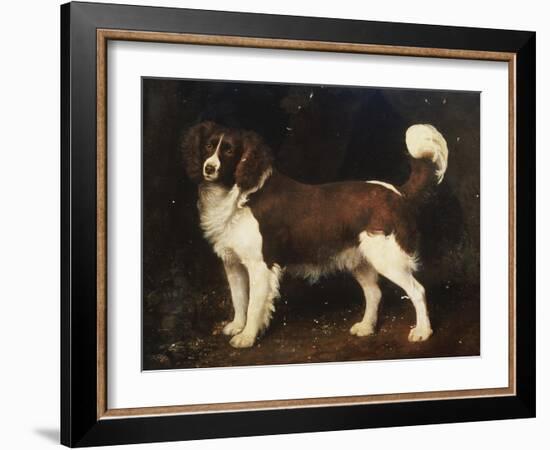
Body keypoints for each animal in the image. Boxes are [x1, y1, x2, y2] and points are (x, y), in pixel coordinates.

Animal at [183, 121, 450, 350]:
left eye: (230, 151)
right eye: (208, 146)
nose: (209, 168)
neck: (240, 196)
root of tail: (397, 193)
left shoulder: (260, 265)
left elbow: (253, 305)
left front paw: (247, 336)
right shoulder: (233, 264)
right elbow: (239, 298)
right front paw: (237, 326)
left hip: (387, 258)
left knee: (417, 290)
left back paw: (422, 331)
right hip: (361, 259)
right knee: (374, 292)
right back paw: (366, 327)